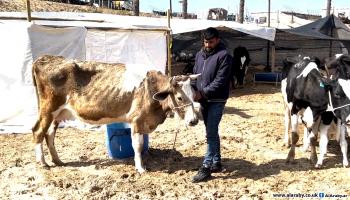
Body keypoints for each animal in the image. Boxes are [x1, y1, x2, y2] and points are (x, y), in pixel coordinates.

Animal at [32, 55, 200, 173]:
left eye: (193, 94)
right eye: (179, 97)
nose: (194, 120)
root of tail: (46, 58)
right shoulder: (137, 120)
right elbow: (137, 146)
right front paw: (140, 168)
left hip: (58, 113)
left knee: (50, 134)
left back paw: (57, 160)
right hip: (48, 109)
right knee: (38, 131)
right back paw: (43, 162)